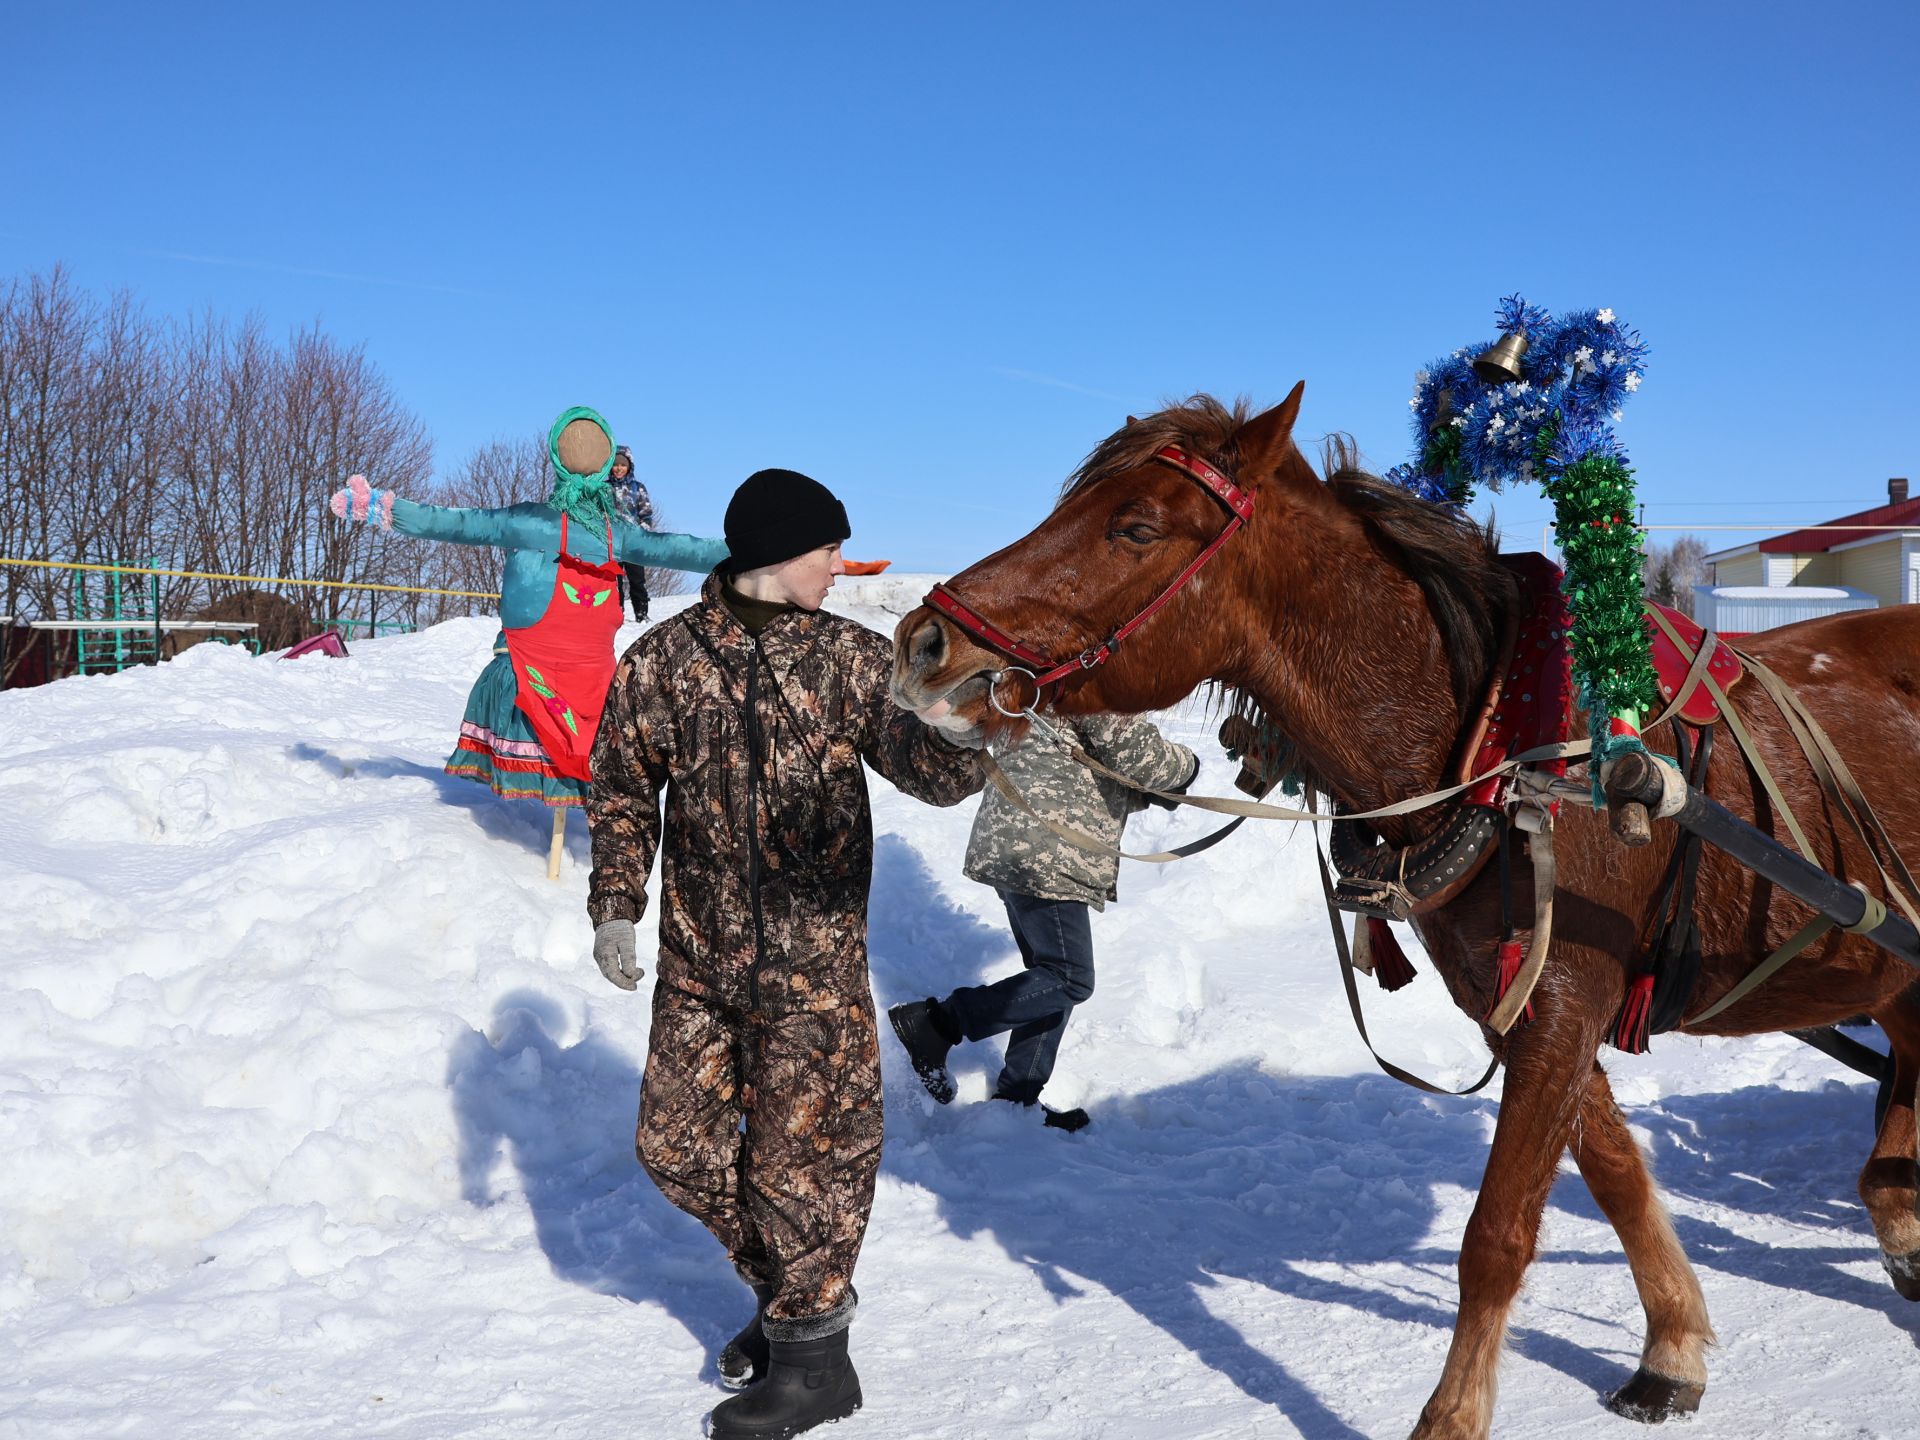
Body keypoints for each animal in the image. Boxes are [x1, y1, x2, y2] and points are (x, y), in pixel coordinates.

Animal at [894, 384, 1920, 1440]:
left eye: (1134, 527)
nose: (923, 644)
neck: (1509, 750)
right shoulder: (1519, 1007)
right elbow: (1617, 1174)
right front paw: (1672, 1344)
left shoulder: (1564, 1001)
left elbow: (1498, 1235)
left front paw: (1454, 1415)